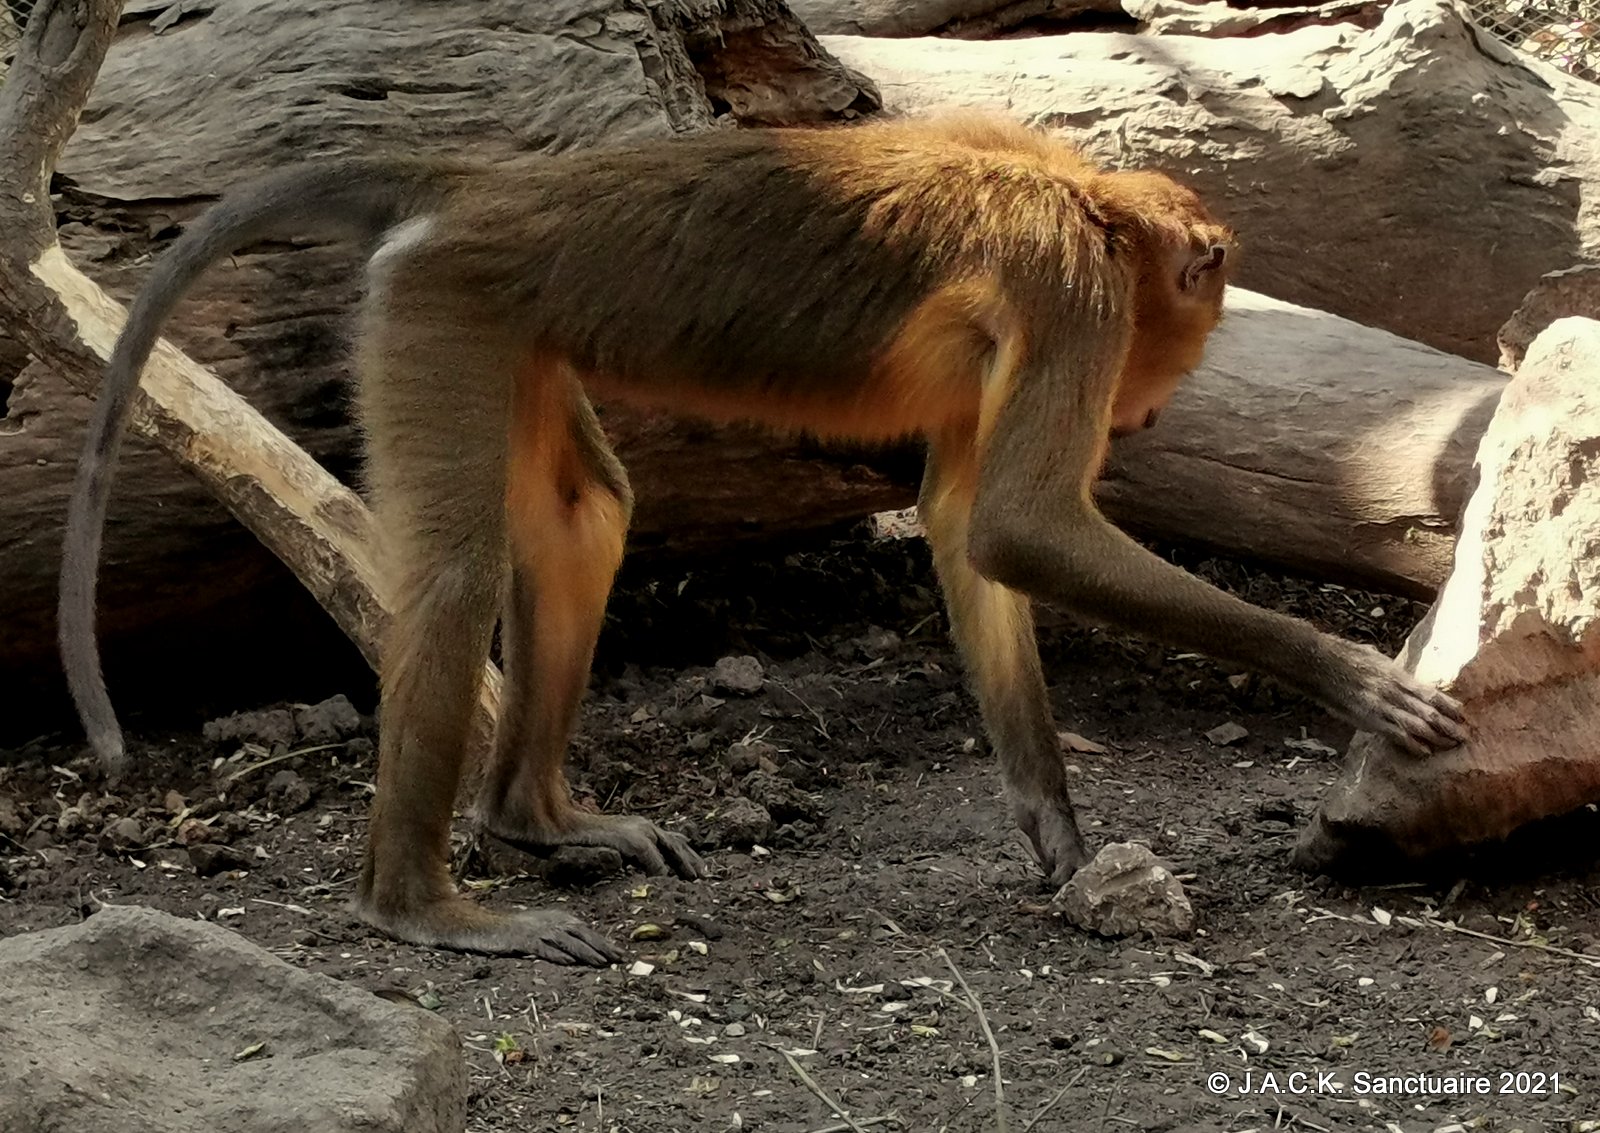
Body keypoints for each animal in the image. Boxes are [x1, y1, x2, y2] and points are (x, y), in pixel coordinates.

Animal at [62, 115, 1465, 966]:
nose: (1153, 412)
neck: (1081, 196)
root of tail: (476, 187)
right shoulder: (1071, 295)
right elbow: (1017, 527)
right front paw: (1351, 678)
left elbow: (969, 531)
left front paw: (1060, 836)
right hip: (442, 303)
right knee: (455, 578)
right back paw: (420, 906)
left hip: (502, 320)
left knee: (587, 519)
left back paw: (536, 821)